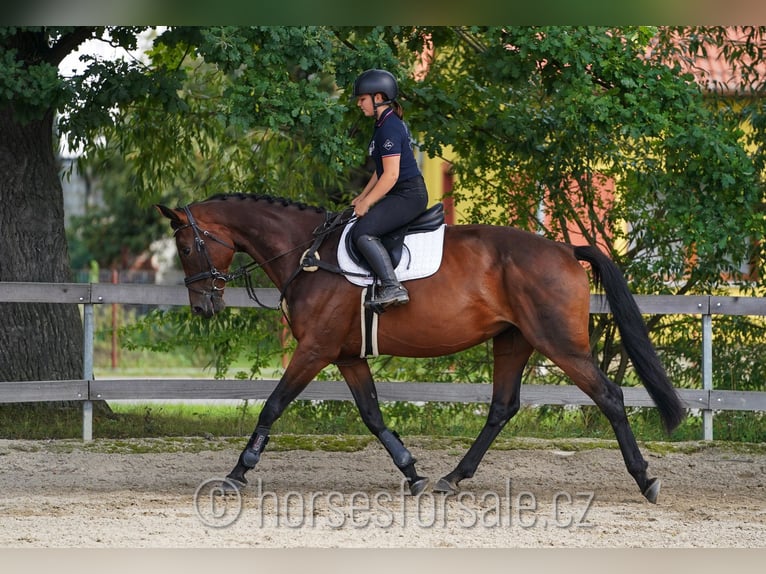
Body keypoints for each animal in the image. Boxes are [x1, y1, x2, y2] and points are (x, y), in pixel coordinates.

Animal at [154, 192, 684, 504]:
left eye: (186, 247)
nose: (203, 306)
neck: (307, 255)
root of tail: (564, 248)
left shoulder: (315, 350)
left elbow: (273, 405)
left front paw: (236, 473)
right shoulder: (346, 356)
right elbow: (372, 415)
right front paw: (412, 472)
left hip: (560, 344)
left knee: (609, 397)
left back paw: (645, 479)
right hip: (513, 341)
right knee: (502, 408)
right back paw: (453, 477)